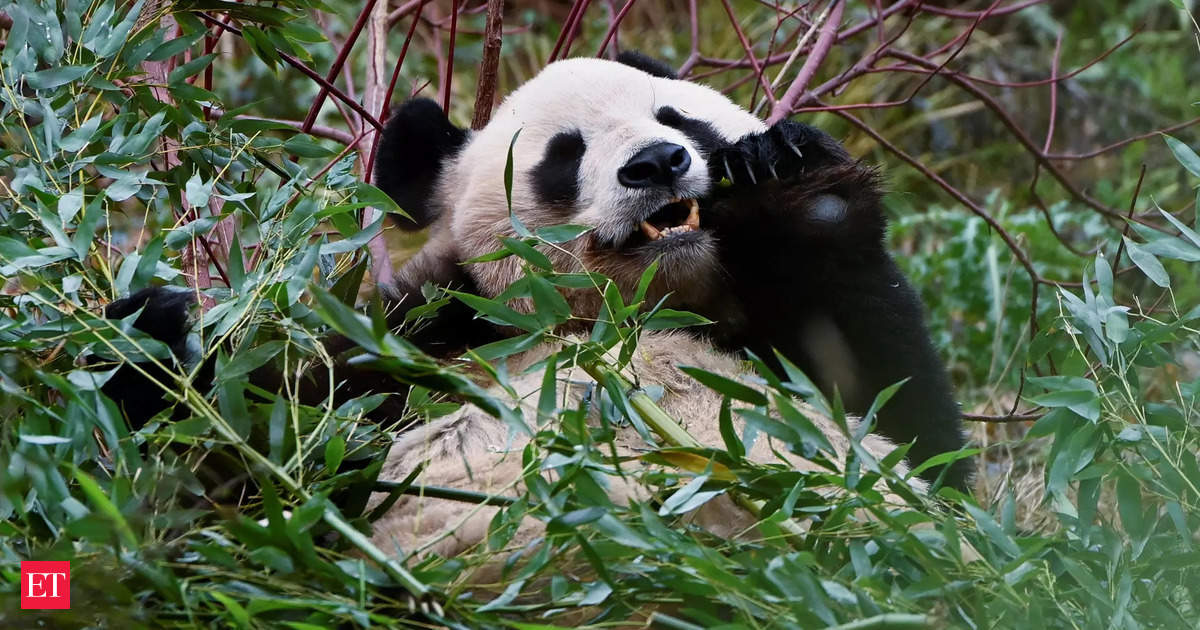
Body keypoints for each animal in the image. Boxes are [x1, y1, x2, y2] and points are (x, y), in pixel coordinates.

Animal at [98, 51, 969, 566]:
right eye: (563, 156)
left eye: (677, 118)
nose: (658, 163)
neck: (641, 312)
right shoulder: (421, 347)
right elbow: (263, 451)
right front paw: (153, 337)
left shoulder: (792, 338)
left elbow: (912, 423)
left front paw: (783, 170)